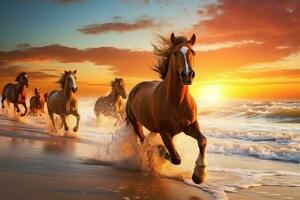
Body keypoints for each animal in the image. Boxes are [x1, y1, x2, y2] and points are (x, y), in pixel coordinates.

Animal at [126, 33, 206, 184]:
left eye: (193, 52)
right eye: (175, 53)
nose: (187, 75)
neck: (177, 102)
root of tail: (136, 88)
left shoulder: (190, 125)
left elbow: (202, 141)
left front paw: (199, 175)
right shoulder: (165, 132)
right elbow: (176, 159)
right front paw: (160, 151)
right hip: (136, 123)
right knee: (143, 140)